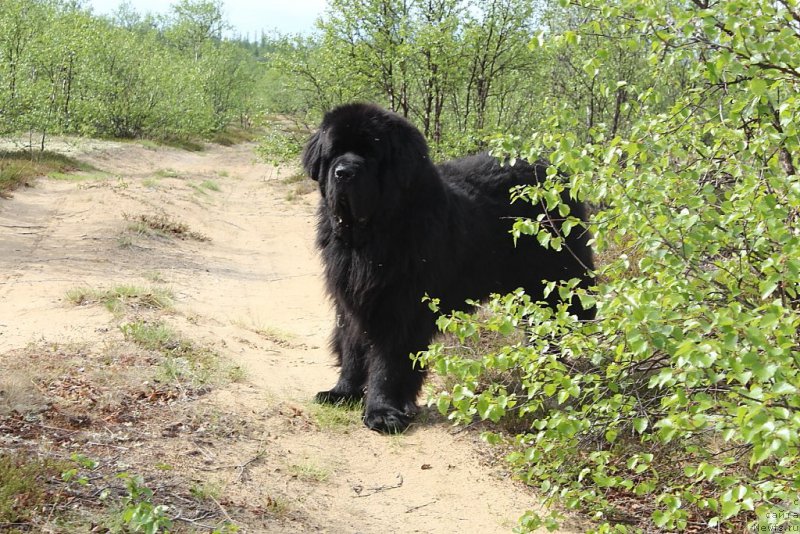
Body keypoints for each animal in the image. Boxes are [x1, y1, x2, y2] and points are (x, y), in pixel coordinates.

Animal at [304, 103, 592, 436]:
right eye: (334, 152)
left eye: (372, 153)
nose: (344, 172)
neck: (370, 237)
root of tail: (554, 170)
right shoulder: (350, 300)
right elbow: (351, 347)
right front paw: (343, 392)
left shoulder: (400, 308)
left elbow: (388, 362)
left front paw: (382, 411)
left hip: (558, 283)